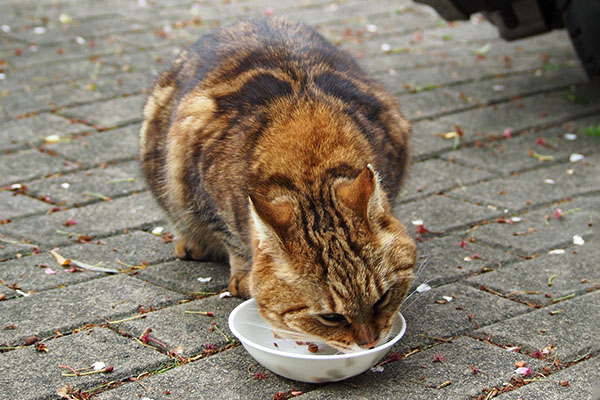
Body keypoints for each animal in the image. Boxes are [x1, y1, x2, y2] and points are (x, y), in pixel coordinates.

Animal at [140, 17, 414, 352]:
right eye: (331, 318)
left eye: (383, 299)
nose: (370, 343)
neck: (310, 162)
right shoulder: (200, 184)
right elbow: (234, 241)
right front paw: (244, 273)